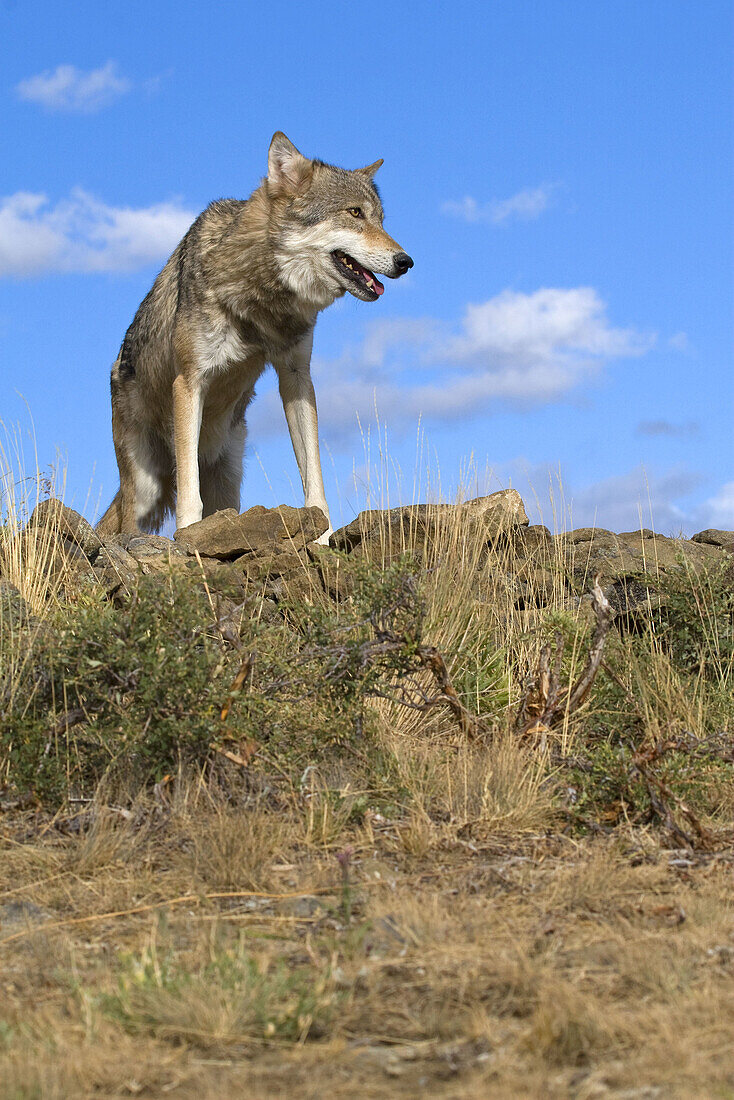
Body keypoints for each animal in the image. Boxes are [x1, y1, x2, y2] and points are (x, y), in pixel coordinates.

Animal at [96, 130, 413, 543]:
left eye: (380, 219)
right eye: (354, 213)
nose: (406, 262)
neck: (261, 299)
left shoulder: (296, 377)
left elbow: (314, 474)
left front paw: (322, 537)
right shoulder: (189, 381)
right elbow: (189, 492)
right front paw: (188, 536)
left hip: (229, 474)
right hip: (146, 486)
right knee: (128, 521)